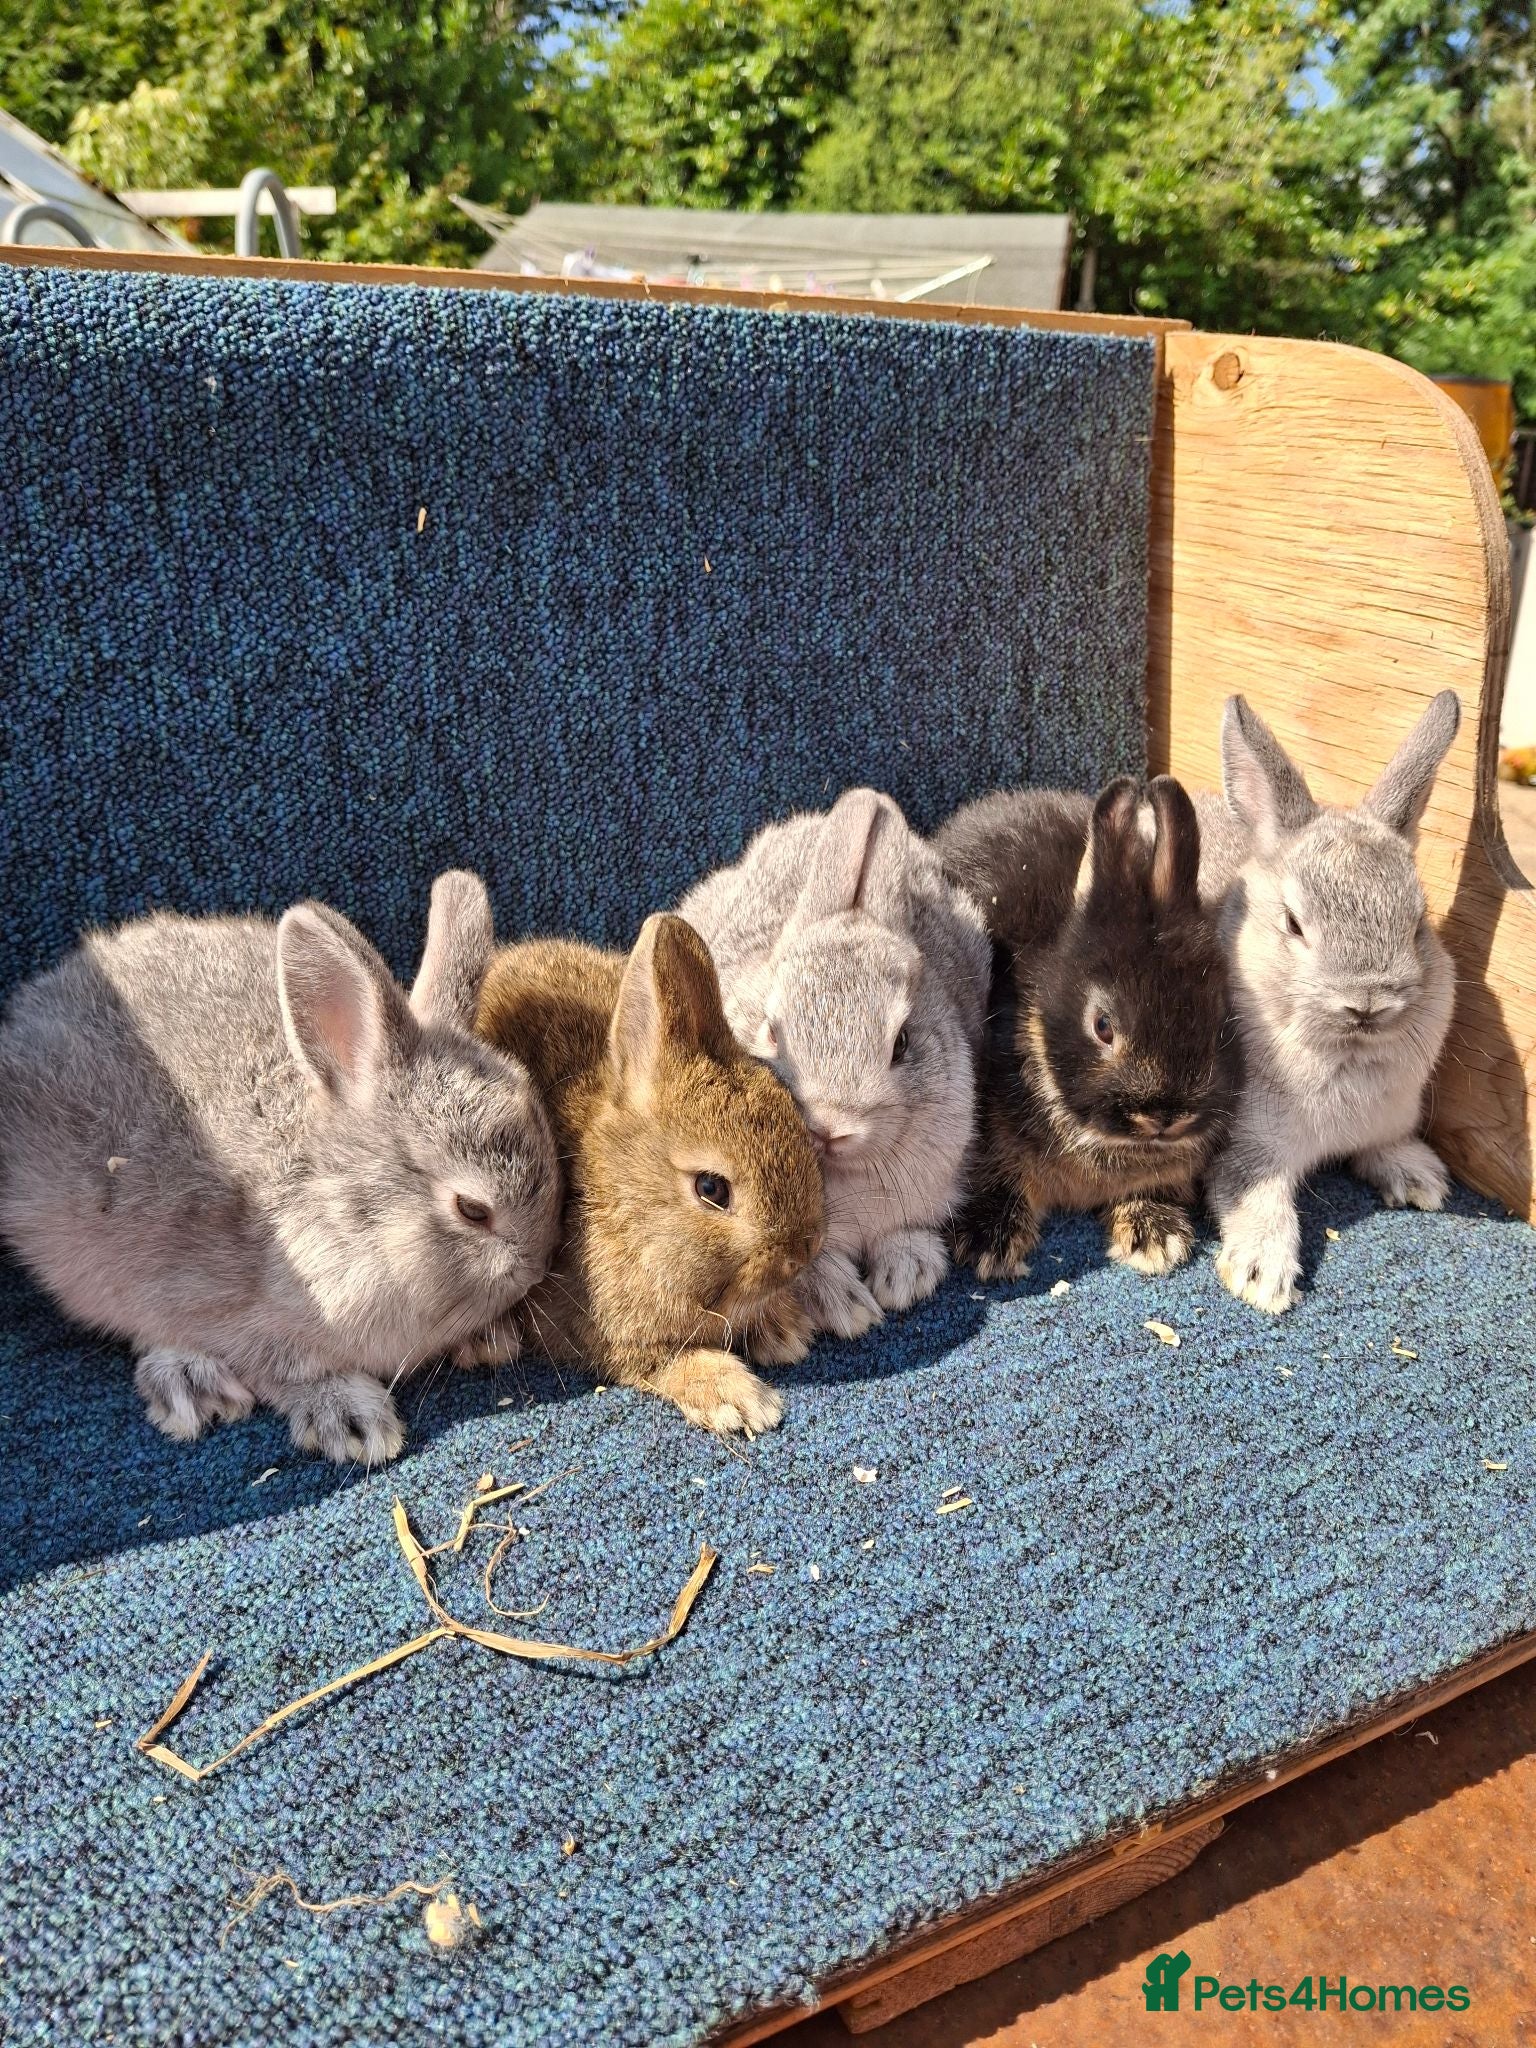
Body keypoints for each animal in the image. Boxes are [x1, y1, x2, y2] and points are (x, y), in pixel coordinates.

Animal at [0, 872, 561, 1462]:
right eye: (473, 1209)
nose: (536, 1267)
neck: (338, 1211)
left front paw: (487, 1339)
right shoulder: (220, 1307)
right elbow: (283, 1371)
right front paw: (352, 1419)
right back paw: (191, 1383)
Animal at [472, 912, 826, 1437]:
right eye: (711, 1188)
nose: (802, 1252)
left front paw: (785, 1330)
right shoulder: (599, 1329)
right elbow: (666, 1362)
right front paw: (742, 1400)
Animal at [1196, 691, 1461, 1314]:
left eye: (1418, 925)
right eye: (1294, 924)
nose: (1366, 1003)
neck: (1347, 1057)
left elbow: (1386, 1146)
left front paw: (1421, 1180)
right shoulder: (1248, 1150)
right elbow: (1256, 1196)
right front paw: (1263, 1276)